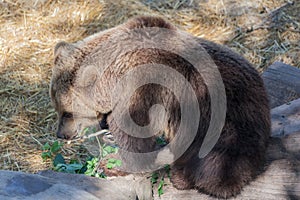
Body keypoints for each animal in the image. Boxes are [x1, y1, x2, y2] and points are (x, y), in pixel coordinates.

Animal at [50, 16, 270, 198]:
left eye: (67, 113)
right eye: (57, 109)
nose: (61, 134)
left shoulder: (143, 88)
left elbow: (134, 135)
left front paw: (112, 164)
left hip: (223, 124)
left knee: (215, 165)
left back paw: (183, 177)